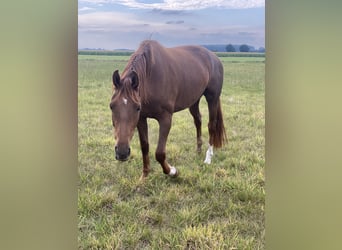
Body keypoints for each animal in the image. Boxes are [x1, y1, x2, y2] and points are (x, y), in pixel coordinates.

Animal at [110, 40, 227, 179]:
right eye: (111, 106)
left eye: (137, 107)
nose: (122, 152)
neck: (151, 78)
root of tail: (214, 57)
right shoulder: (141, 119)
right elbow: (145, 146)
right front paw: (144, 175)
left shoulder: (165, 118)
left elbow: (160, 153)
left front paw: (173, 171)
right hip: (194, 100)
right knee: (198, 120)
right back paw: (198, 150)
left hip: (212, 98)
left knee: (211, 125)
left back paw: (208, 157)